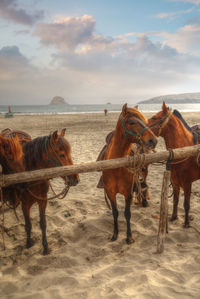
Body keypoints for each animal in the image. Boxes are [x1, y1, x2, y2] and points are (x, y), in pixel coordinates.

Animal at [102, 104, 157, 245]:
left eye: (145, 121)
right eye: (132, 122)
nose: (153, 141)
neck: (116, 165)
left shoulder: (128, 193)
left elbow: (127, 214)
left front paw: (129, 236)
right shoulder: (110, 192)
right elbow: (115, 212)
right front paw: (115, 234)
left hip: (144, 173)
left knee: (144, 186)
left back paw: (144, 202)